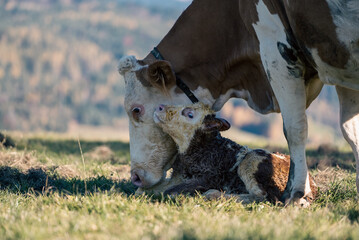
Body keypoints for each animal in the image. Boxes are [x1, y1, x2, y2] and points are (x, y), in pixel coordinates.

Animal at [143, 102, 318, 203]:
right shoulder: (177, 176)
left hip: (252, 159)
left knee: (264, 197)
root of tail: (312, 186)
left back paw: (213, 195)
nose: (159, 107)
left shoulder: (210, 177)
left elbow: (169, 191)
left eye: (190, 114)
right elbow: (148, 189)